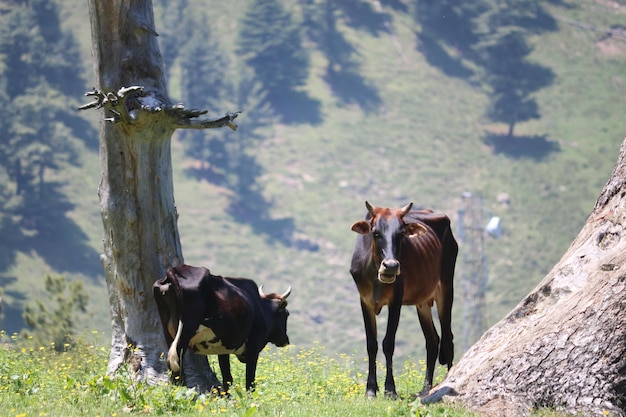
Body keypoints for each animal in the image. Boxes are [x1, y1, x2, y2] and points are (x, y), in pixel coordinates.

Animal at [152, 264, 292, 392]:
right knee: (176, 365)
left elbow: (227, 378)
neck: (260, 307)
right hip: (186, 331)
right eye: (286, 314)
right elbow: (250, 380)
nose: (286, 340)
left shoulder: (222, 348)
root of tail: (175, 270)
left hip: (169, 331)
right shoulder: (254, 346)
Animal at [348, 202, 456, 396]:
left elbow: (388, 343)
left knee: (447, 339)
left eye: (400, 234)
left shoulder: (396, 301)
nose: (390, 266)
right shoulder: (365, 301)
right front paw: (371, 390)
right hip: (423, 302)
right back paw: (425, 388)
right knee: (432, 340)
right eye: (375, 232)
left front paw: (390, 390)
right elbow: (372, 344)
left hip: (446, 287)